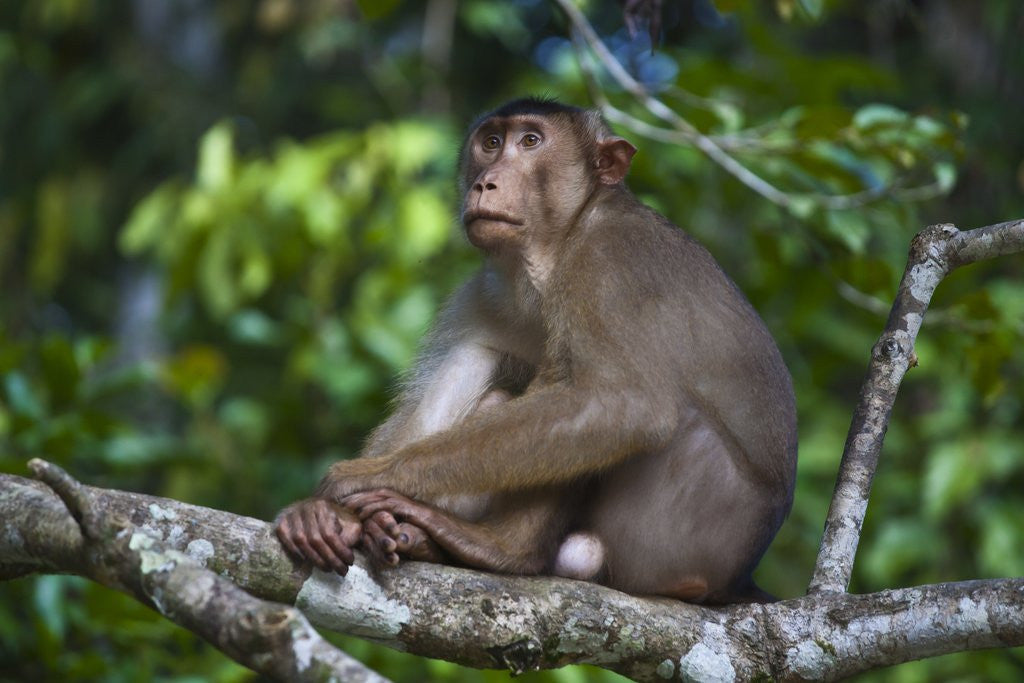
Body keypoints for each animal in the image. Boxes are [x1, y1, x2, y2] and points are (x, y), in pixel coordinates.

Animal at [275, 97, 797, 603]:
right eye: (490, 142)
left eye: (530, 141)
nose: (486, 182)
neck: (559, 245)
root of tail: (737, 581)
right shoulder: (485, 291)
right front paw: (322, 513)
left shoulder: (612, 260)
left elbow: (626, 406)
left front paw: (365, 478)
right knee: (481, 357)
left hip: (678, 532)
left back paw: (501, 550)